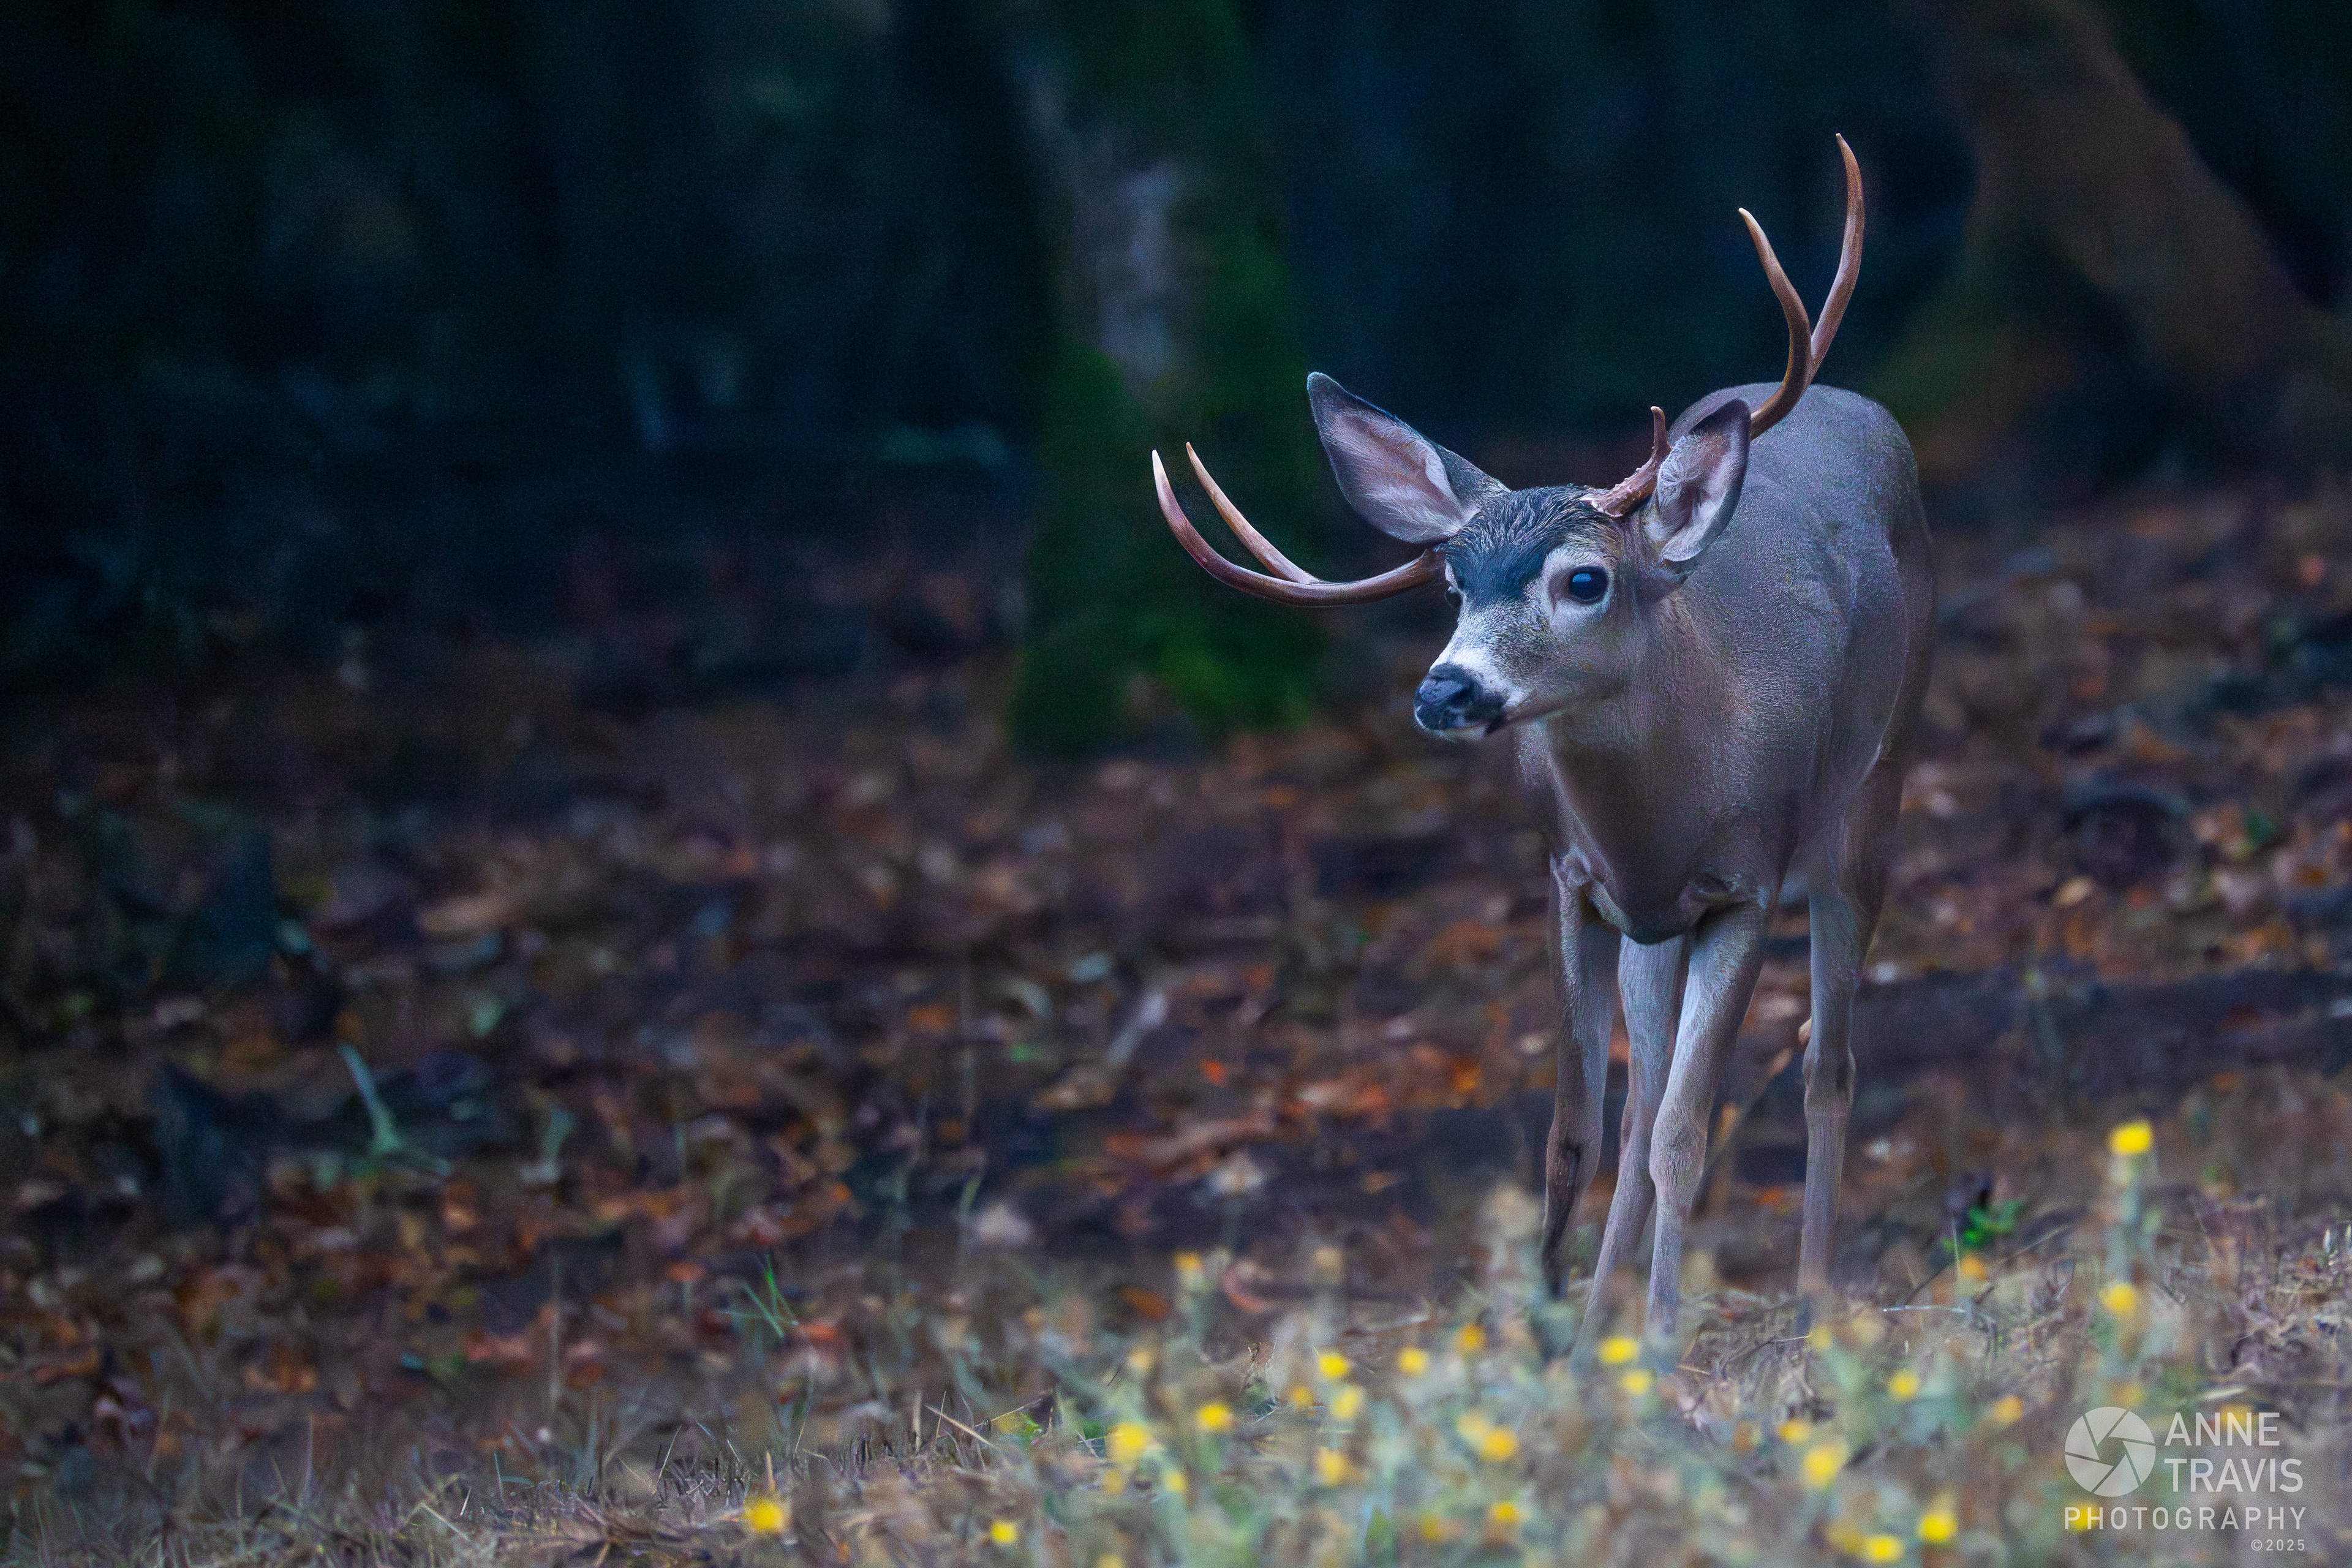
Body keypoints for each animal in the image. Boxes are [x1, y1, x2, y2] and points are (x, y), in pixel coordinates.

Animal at [1150, 139, 1932, 1349]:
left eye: (1584, 579)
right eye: (1453, 586)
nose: (1447, 689)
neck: (1677, 794)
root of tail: (1854, 404)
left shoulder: (1747, 883)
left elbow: (1687, 1134)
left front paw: (1659, 1345)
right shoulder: (1574, 881)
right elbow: (1584, 1129)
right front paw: (1560, 1335)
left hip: (1873, 797)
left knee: (1828, 1066)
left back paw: (1809, 1302)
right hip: (1661, 924)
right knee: (1648, 1092)